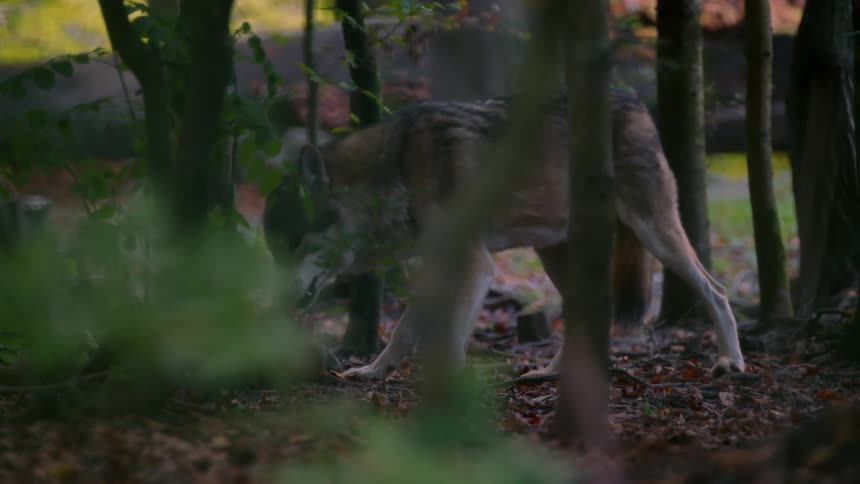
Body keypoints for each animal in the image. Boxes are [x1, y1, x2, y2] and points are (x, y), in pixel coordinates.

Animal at [262, 91, 746, 380]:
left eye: (295, 243)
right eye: (275, 250)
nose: (282, 301)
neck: (397, 171)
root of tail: (636, 101)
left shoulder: (475, 264)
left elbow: (448, 339)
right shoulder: (436, 264)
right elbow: (403, 331)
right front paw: (372, 373)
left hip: (655, 232)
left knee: (716, 289)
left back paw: (731, 360)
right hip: (555, 252)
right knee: (586, 309)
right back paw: (553, 373)